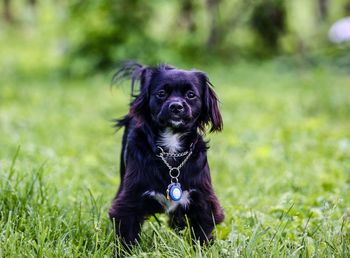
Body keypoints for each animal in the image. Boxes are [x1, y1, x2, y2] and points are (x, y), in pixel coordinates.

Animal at [108, 61, 224, 247]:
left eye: (191, 95)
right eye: (161, 93)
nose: (176, 106)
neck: (171, 149)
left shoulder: (203, 201)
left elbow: (202, 233)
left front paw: (201, 249)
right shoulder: (129, 201)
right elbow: (127, 234)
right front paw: (124, 250)